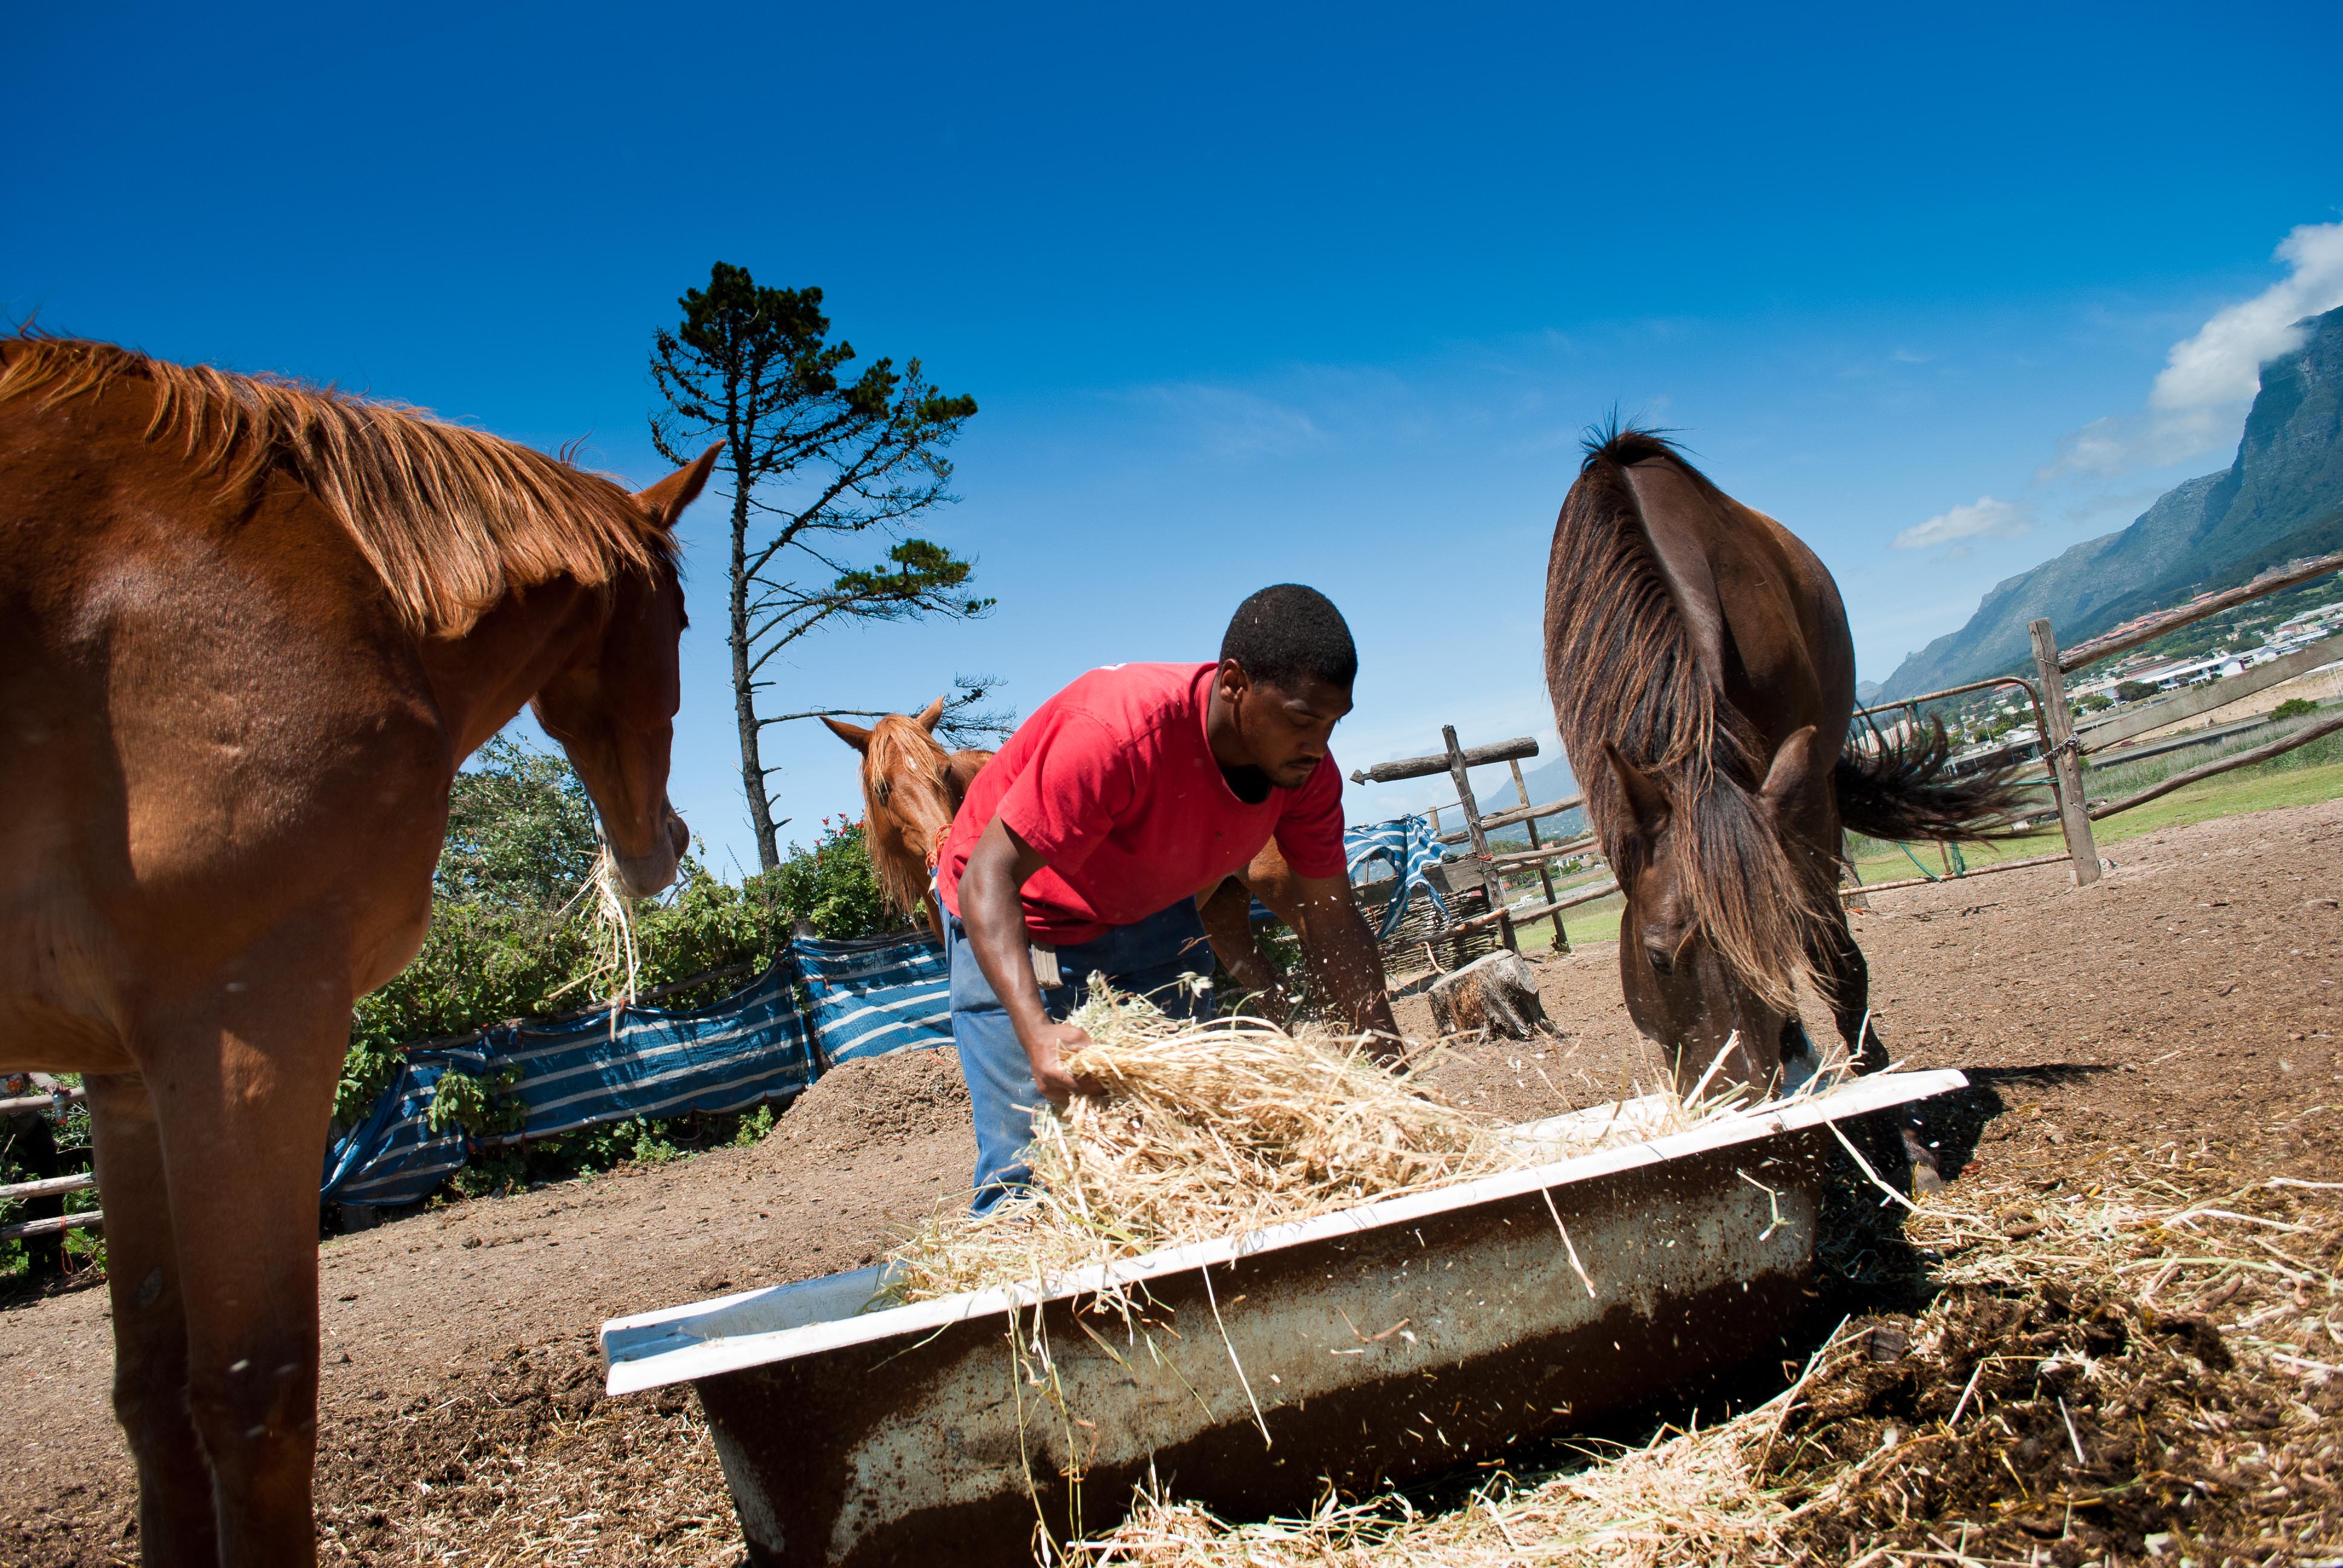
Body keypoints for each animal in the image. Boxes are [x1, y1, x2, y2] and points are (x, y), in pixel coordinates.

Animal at [0, 339, 712, 1566]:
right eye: (678, 626)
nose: (660, 844)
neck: (347, 595)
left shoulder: (126, 1079)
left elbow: (152, 1397)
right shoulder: (250, 1025)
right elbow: (255, 1399)